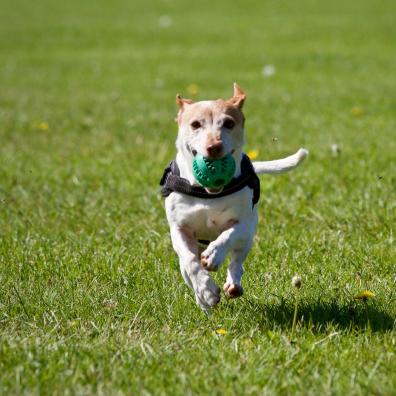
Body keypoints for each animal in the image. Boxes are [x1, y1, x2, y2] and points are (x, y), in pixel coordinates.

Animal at [159, 84, 308, 312]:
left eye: (229, 123)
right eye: (195, 124)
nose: (214, 147)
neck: (208, 194)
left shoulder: (244, 224)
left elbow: (228, 235)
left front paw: (214, 255)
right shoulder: (179, 229)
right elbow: (191, 263)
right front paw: (206, 291)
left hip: (247, 238)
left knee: (237, 260)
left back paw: (233, 283)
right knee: (188, 269)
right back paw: (203, 301)